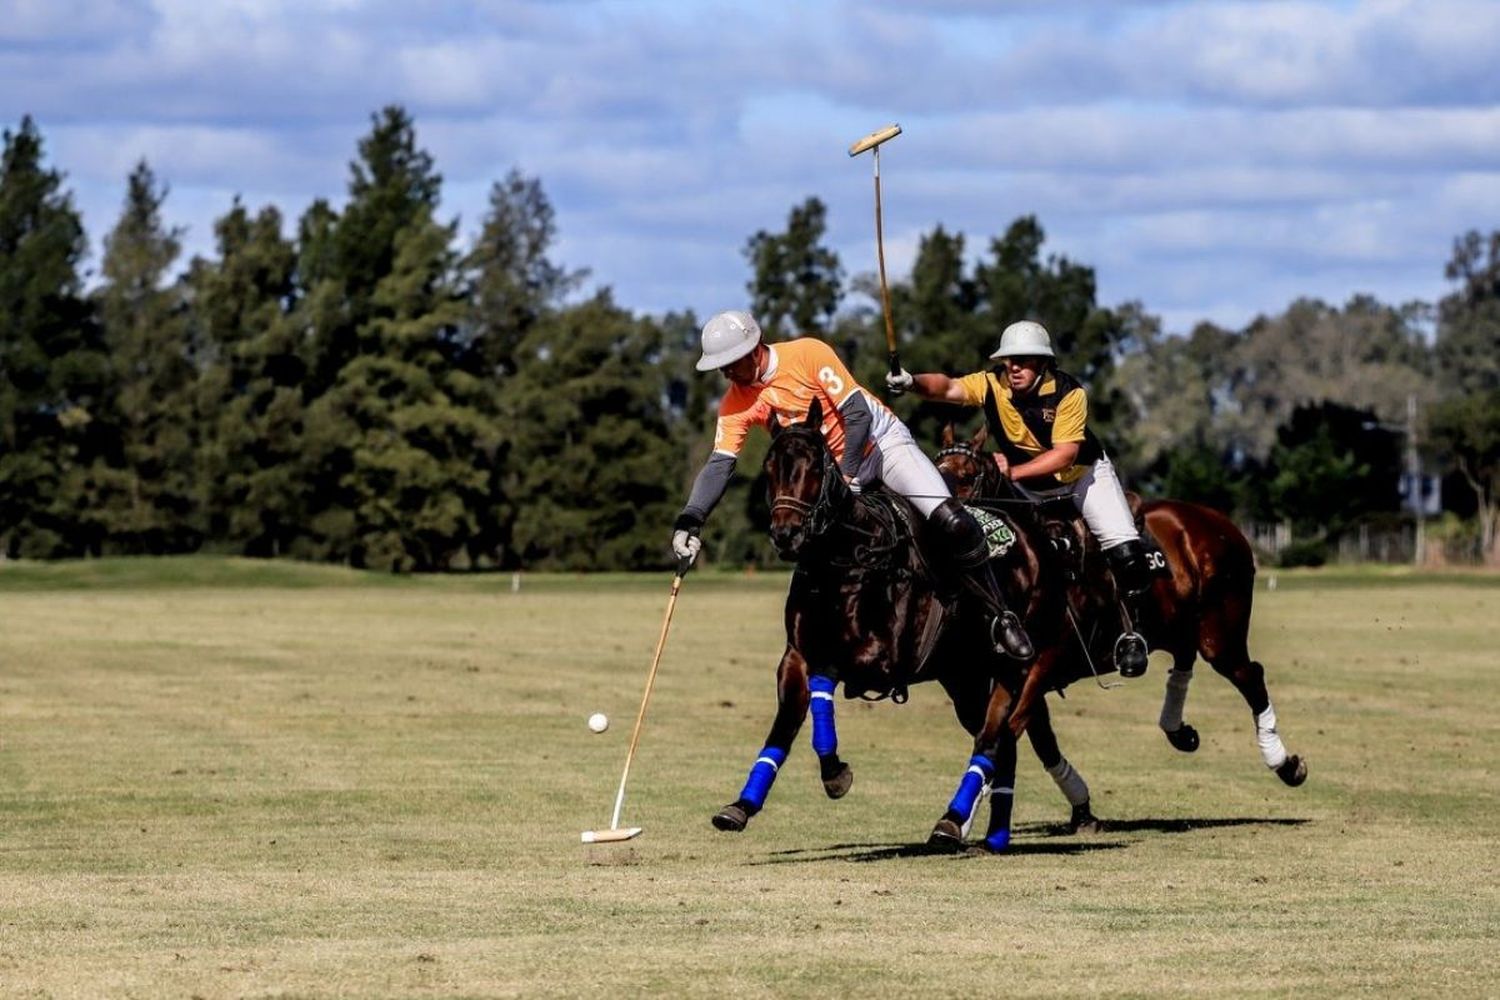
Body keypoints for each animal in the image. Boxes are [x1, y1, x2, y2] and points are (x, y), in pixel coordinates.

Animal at [708, 398, 1098, 851]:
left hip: (1017, 664)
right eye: (770, 466)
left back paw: (954, 821)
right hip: (964, 676)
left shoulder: (883, 660)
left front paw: (835, 773)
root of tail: (1040, 540)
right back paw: (989, 833)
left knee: (996, 736)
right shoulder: (796, 655)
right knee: (1001, 743)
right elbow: (785, 723)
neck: (847, 558)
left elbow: (827, 674)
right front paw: (741, 805)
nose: (786, 534)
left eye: (815, 466)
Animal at [930, 425, 1308, 791]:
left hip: (1220, 632)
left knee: (1250, 675)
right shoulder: (987, 676)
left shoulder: (1047, 658)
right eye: (935, 468)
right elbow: (1005, 734)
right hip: (1177, 622)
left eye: (966, 476)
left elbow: (1012, 727)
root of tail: (1225, 525)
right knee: (1185, 657)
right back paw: (1178, 729)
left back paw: (1286, 765)